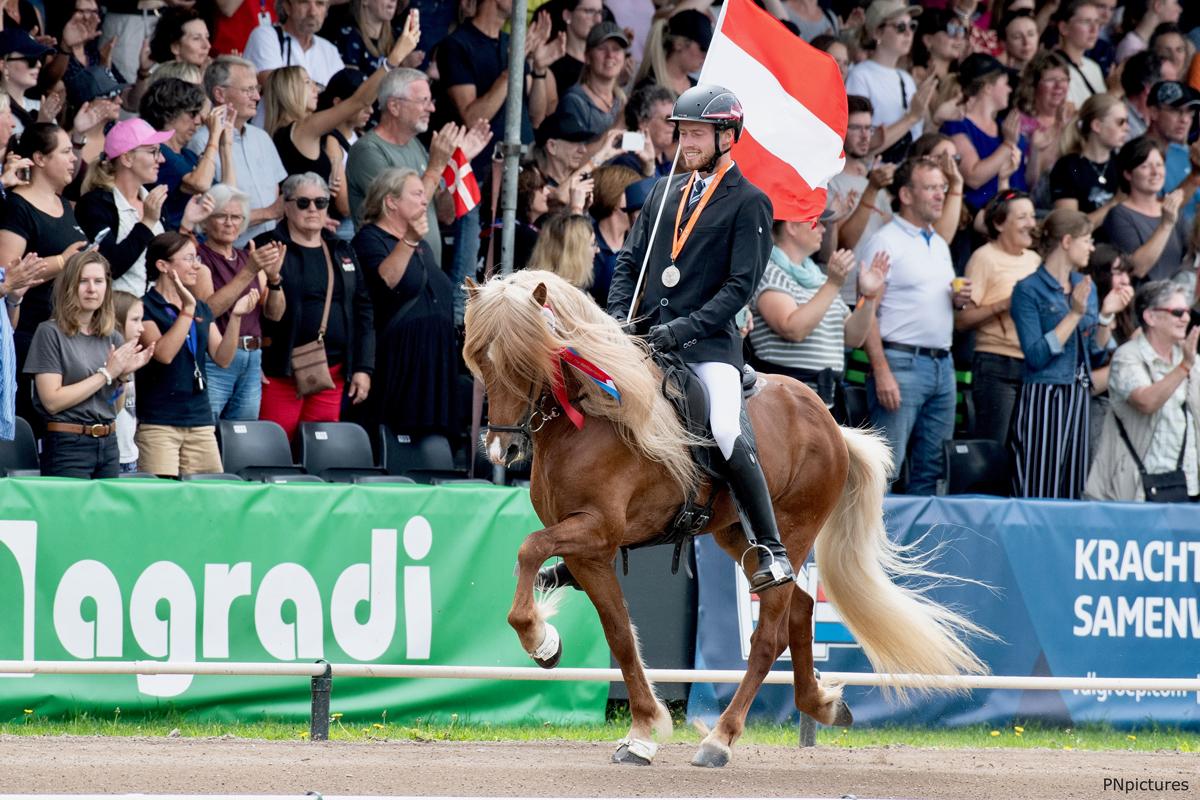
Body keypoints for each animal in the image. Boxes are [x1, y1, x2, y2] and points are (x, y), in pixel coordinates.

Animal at [462, 270, 987, 767]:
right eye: (481, 359)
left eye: (525, 360)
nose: (502, 449)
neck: (594, 415)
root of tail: (830, 422)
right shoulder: (590, 550)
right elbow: (619, 633)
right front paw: (640, 729)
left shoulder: (595, 530)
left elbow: (529, 548)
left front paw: (538, 639)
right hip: (738, 535)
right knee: (800, 606)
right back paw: (819, 703)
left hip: (794, 529)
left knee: (769, 635)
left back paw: (720, 739)